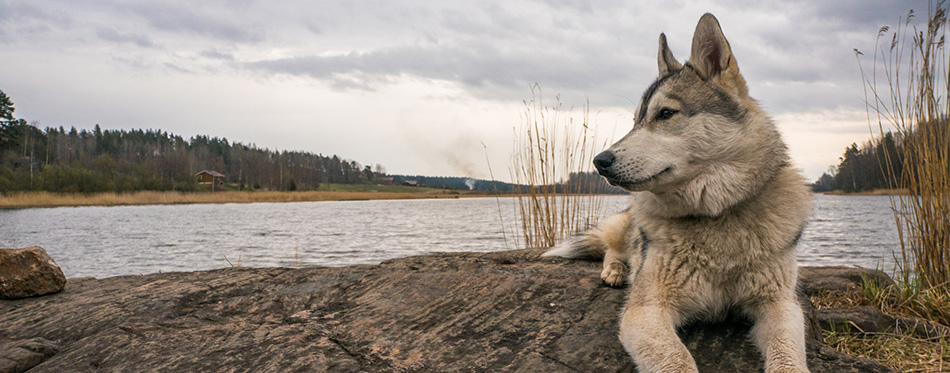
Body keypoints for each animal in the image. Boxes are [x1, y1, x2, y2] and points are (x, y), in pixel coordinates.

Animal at [548, 13, 816, 370]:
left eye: (665, 113)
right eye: (635, 121)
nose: (600, 161)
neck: (715, 217)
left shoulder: (781, 303)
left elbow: (788, 355)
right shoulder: (645, 309)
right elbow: (678, 360)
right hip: (625, 228)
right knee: (612, 248)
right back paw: (616, 271)